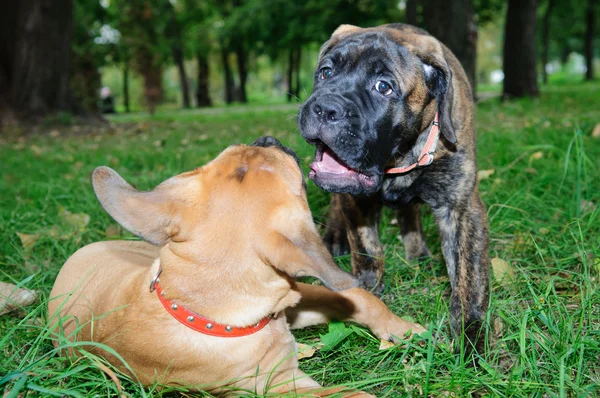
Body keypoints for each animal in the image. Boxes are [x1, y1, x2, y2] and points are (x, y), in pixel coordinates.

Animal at [48, 136, 426, 394]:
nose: (266, 139)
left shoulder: (297, 298)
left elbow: (361, 299)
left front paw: (405, 330)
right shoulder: (282, 384)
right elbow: (352, 394)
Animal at [298, 24, 490, 354]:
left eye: (383, 87)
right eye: (325, 72)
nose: (325, 108)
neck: (397, 160)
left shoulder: (461, 207)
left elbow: (470, 275)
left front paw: (472, 336)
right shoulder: (356, 202)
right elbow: (367, 249)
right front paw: (368, 291)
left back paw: (417, 251)